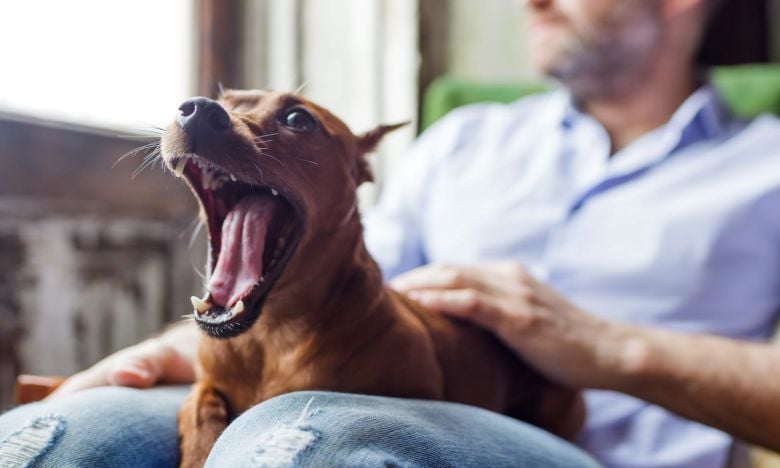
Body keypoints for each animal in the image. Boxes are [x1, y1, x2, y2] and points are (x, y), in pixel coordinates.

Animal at [161, 89, 580, 466]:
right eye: (225, 100)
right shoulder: (209, 377)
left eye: (298, 119)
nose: (199, 110)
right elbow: (198, 403)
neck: (269, 336)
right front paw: (198, 446)